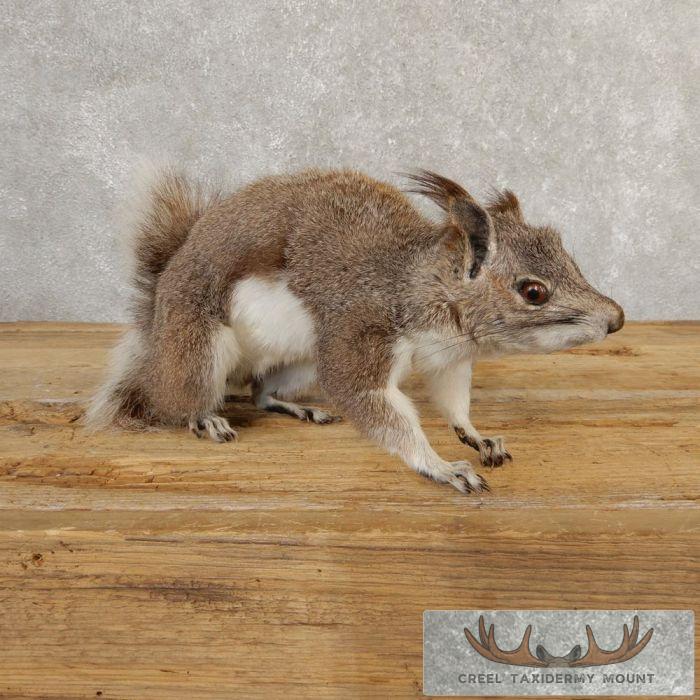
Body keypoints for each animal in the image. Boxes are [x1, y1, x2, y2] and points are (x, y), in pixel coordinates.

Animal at [86, 167, 624, 494]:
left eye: (568, 256)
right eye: (533, 291)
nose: (616, 319)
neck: (424, 287)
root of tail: (159, 317)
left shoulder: (449, 360)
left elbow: (454, 403)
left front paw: (476, 436)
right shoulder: (361, 331)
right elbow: (372, 402)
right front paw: (441, 466)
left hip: (303, 363)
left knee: (261, 391)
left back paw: (298, 406)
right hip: (201, 346)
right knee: (181, 399)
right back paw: (205, 418)